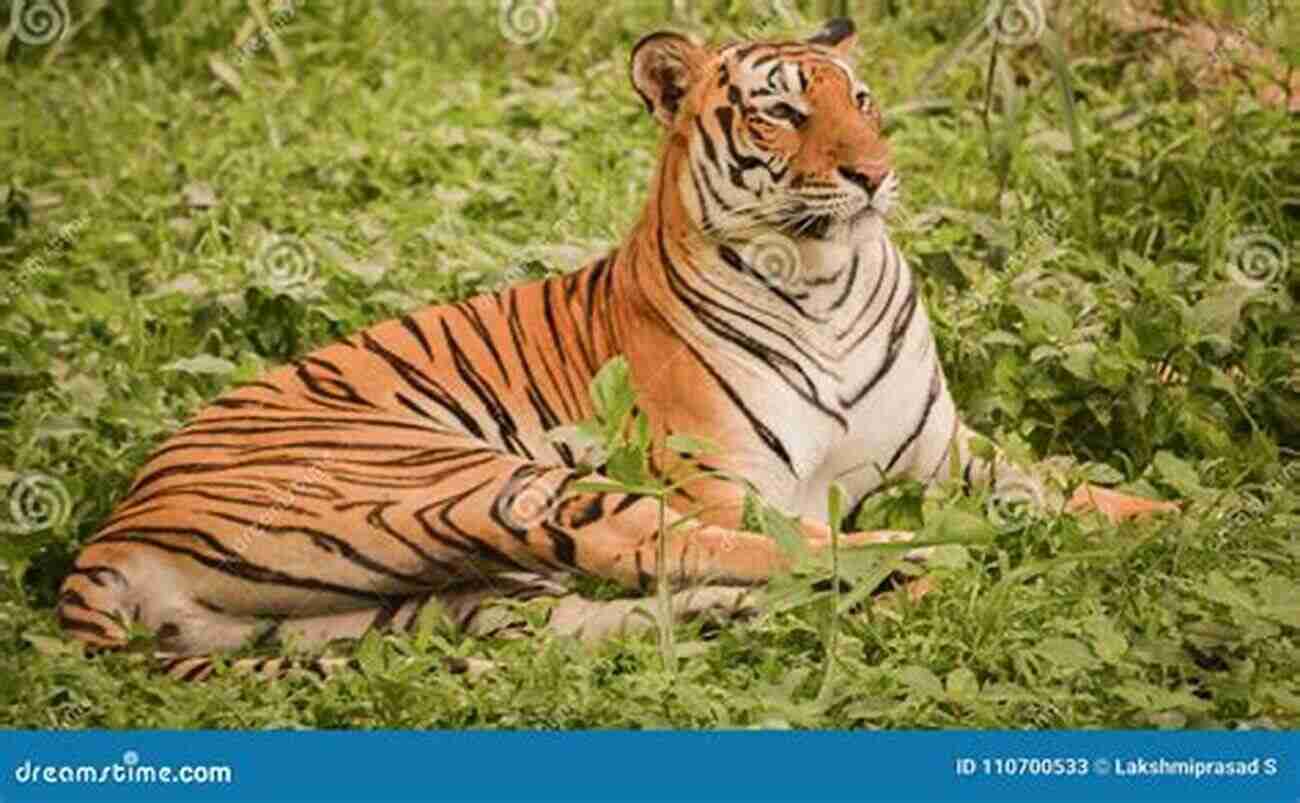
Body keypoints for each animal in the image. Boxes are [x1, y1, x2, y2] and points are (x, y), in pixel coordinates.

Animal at [55, 17, 1175, 675]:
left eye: (859, 100)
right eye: (781, 110)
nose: (873, 173)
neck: (830, 278)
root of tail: (111, 532)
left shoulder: (946, 449)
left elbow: (1068, 484)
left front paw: (1182, 522)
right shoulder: (730, 476)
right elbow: (772, 524)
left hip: (414, 604)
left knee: (622, 602)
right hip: (475, 480)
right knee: (686, 545)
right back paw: (932, 560)